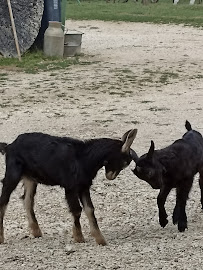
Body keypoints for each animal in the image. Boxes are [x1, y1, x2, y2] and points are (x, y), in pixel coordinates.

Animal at [0, 130, 138, 246]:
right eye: (125, 162)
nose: (111, 177)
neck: (84, 158)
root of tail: (9, 146)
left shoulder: (84, 187)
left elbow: (90, 209)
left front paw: (100, 239)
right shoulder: (70, 187)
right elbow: (77, 210)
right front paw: (79, 237)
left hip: (30, 178)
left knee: (27, 200)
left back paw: (36, 231)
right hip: (13, 173)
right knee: (4, 201)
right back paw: (1, 237)